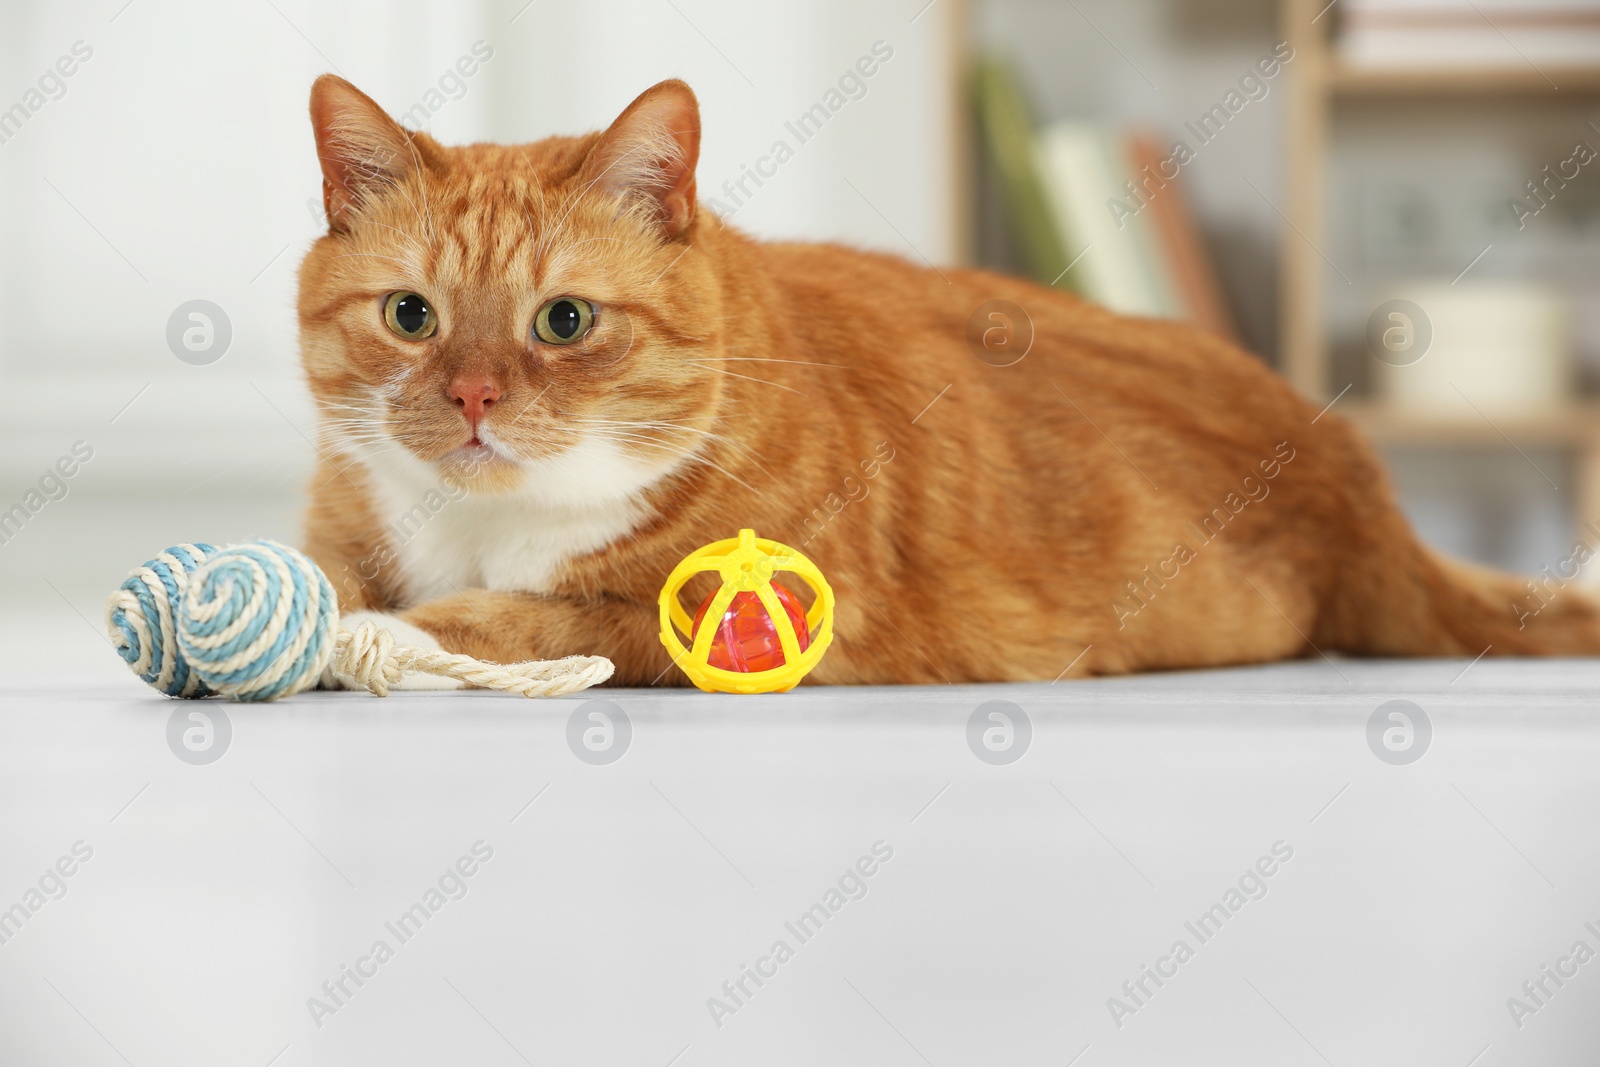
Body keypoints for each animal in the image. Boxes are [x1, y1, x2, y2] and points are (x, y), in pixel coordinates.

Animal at [300, 77, 1600, 694]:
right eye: (411, 316)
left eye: (563, 321)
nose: (472, 399)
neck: (483, 522)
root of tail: (1354, 470)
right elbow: (327, 570)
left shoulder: (753, 615)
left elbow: (529, 614)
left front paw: (386, 629)